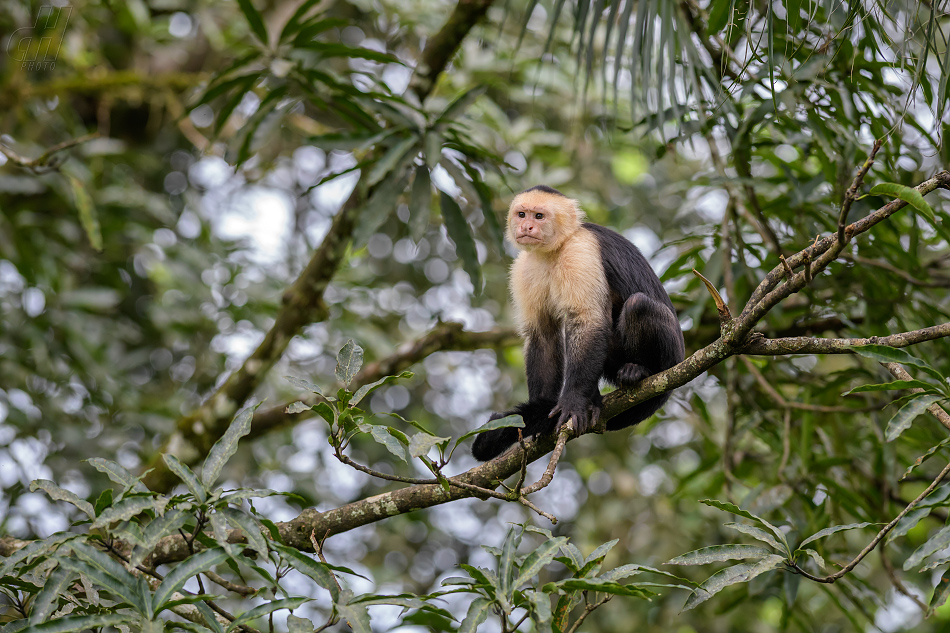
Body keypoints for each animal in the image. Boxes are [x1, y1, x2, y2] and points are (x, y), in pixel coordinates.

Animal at [474, 185, 684, 462]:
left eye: (539, 216)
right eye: (522, 214)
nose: (526, 227)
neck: (555, 248)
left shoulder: (580, 251)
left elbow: (588, 321)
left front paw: (573, 402)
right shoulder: (524, 268)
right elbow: (543, 336)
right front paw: (541, 412)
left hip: (673, 357)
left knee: (639, 305)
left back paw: (640, 370)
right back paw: (593, 398)